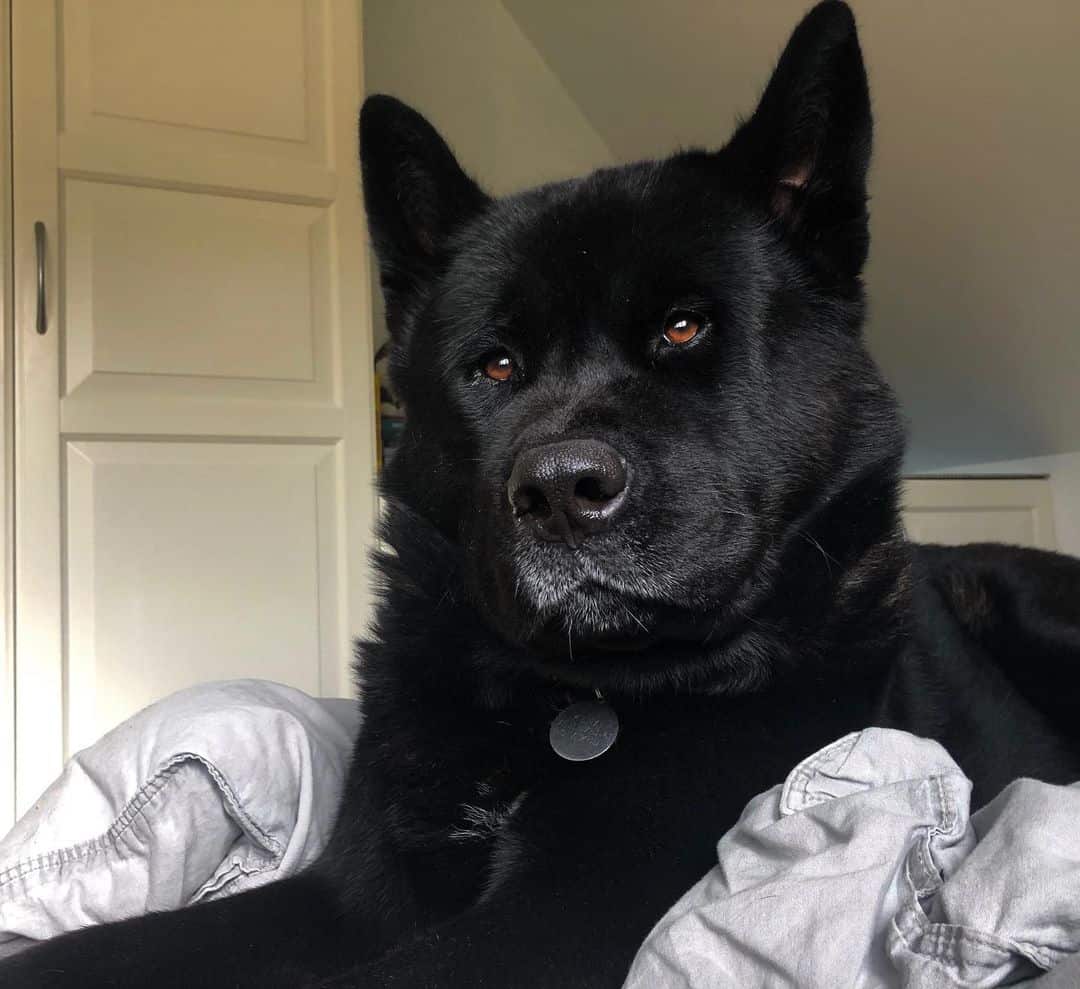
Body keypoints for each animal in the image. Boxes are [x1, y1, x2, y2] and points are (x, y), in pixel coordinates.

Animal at [8, 3, 1080, 984]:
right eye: (495, 365)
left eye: (685, 327)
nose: (563, 492)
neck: (569, 696)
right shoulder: (350, 891)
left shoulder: (562, 913)